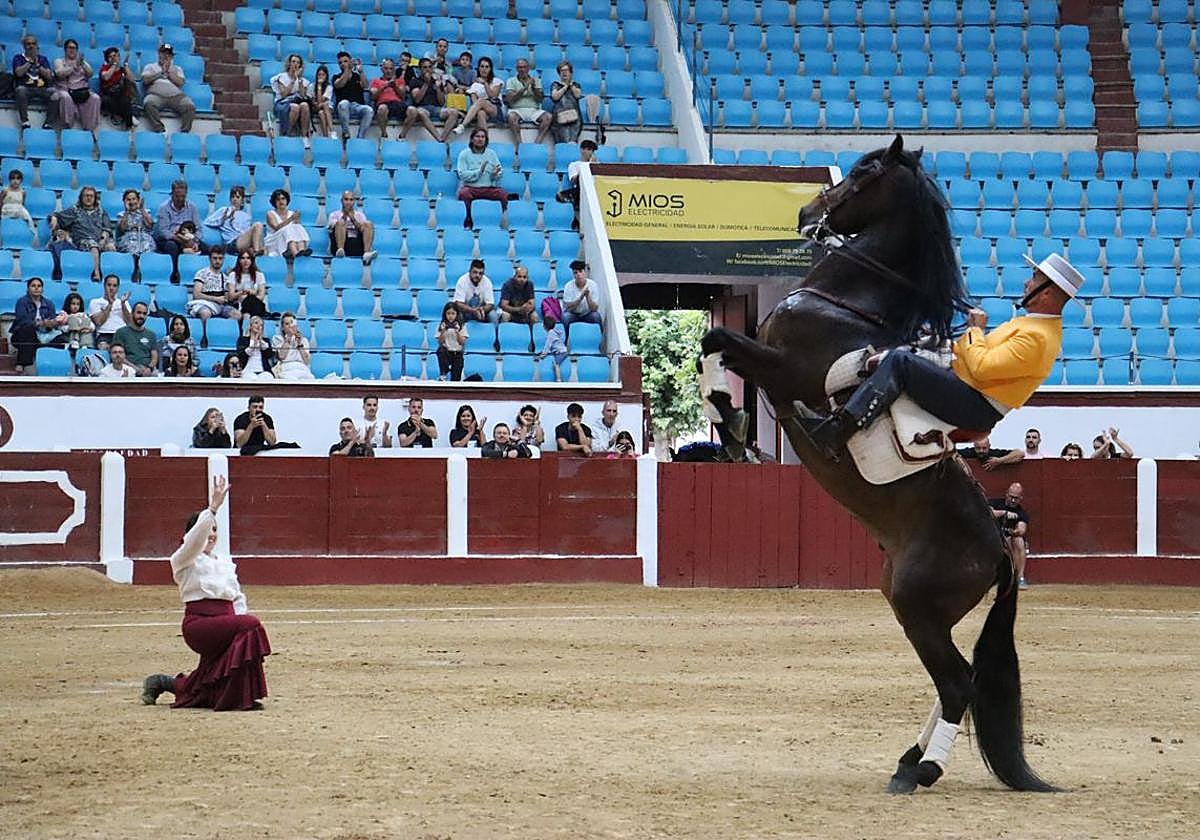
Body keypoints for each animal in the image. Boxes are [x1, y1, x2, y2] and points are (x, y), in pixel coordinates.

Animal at [700, 135, 1056, 795]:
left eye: (864, 173)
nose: (806, 211)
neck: (849, 306)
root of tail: (1000, 548)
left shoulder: (784, 368)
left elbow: (717, 343)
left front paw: (725, 412)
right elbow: (713, 351)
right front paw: (723, 414)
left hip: (917, 606)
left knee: (958, 683)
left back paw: (923, 769)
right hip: (912, 605)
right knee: (961, 682)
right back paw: (910, 759)